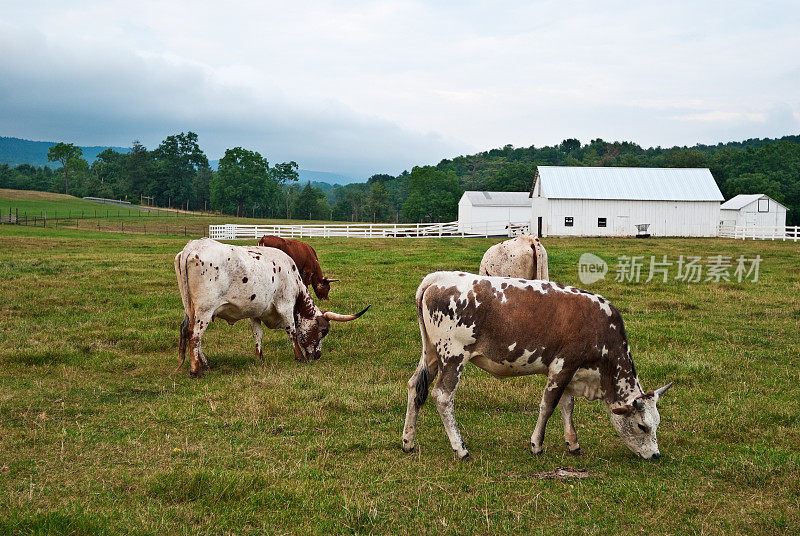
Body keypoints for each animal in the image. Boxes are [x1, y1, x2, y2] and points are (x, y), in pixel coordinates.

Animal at [173, 239, 368, 376]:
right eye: (323, 331)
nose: (317, 355)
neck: (293, 278)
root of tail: (192, 247)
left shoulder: (255, 312)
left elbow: (257, 335)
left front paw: (259, 358)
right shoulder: (286, 306)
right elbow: (293, 331)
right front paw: (299, 357)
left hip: (189, 307)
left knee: (187, 330)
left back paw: (204, 363)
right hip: (205, 309)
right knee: (194, 334)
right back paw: (196, 369)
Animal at [404, 272, 672, 460]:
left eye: (657, 423)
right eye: (642, 426)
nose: (655, 455)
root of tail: (436, 278)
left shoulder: (571, 373)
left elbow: (567, 406)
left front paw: (572, 443)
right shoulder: (563, 366)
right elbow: (549, 405)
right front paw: (537, 444)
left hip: (430, 354)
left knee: (415, 387)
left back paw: (408, 441)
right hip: (454, 356)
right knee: (442, 396)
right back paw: (460, 448)